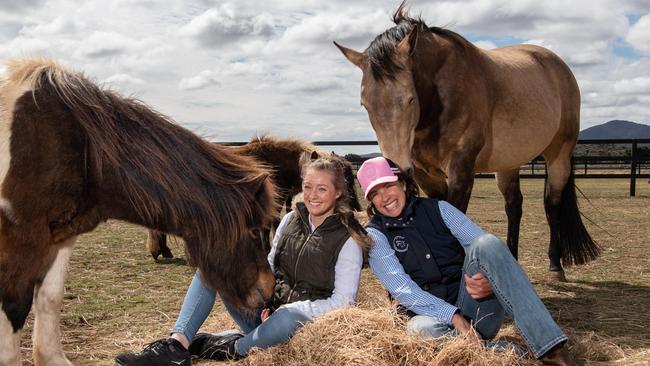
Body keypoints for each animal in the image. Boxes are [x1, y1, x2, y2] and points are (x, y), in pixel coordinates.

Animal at [0, 58, 276, 364]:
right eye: (253, 230)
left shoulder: (61, 236)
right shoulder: (22, 235)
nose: (269, 289)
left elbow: (50, 297)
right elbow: (15, 309)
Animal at [336, 3, 600, 280]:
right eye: (365, 104)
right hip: (507, 164)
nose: (394, 167)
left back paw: (555, 266)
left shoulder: (461, 168)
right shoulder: (424, 173)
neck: (438, 102)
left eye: (410, 98)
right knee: (514, 206)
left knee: (552, 205)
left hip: (558, 154)